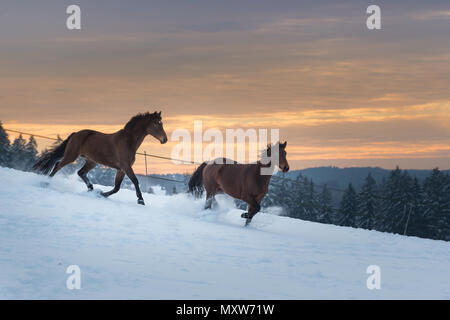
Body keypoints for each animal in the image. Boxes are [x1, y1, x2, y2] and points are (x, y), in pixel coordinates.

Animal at [32, 110, 167, 205]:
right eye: (156, 123)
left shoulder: (121, 169)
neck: (128, 142)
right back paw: (46, 183)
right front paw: (141, 200)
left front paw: (101, 194)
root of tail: (75, 134)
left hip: (92, 162)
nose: (165, 140)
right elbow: (134, 180)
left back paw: (91, 188)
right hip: (71, 156)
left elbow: (117, 187)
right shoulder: (125, 166)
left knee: (80, 172)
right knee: (57, 166)